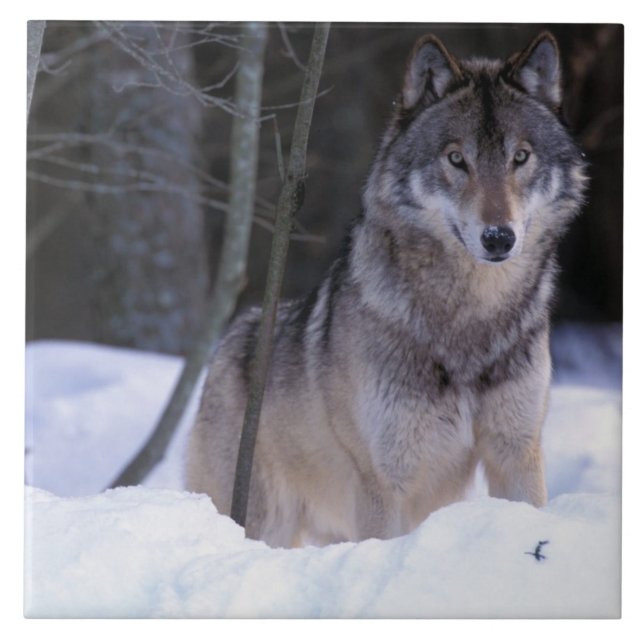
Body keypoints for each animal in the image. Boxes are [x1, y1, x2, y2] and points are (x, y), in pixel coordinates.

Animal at [185, 31, 587, 547]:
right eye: (456, 159)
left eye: (520, 156)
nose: (499, 237)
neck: (470, 321)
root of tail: (229, 341)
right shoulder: (384, 480)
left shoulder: (517, 452)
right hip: (266, 520)